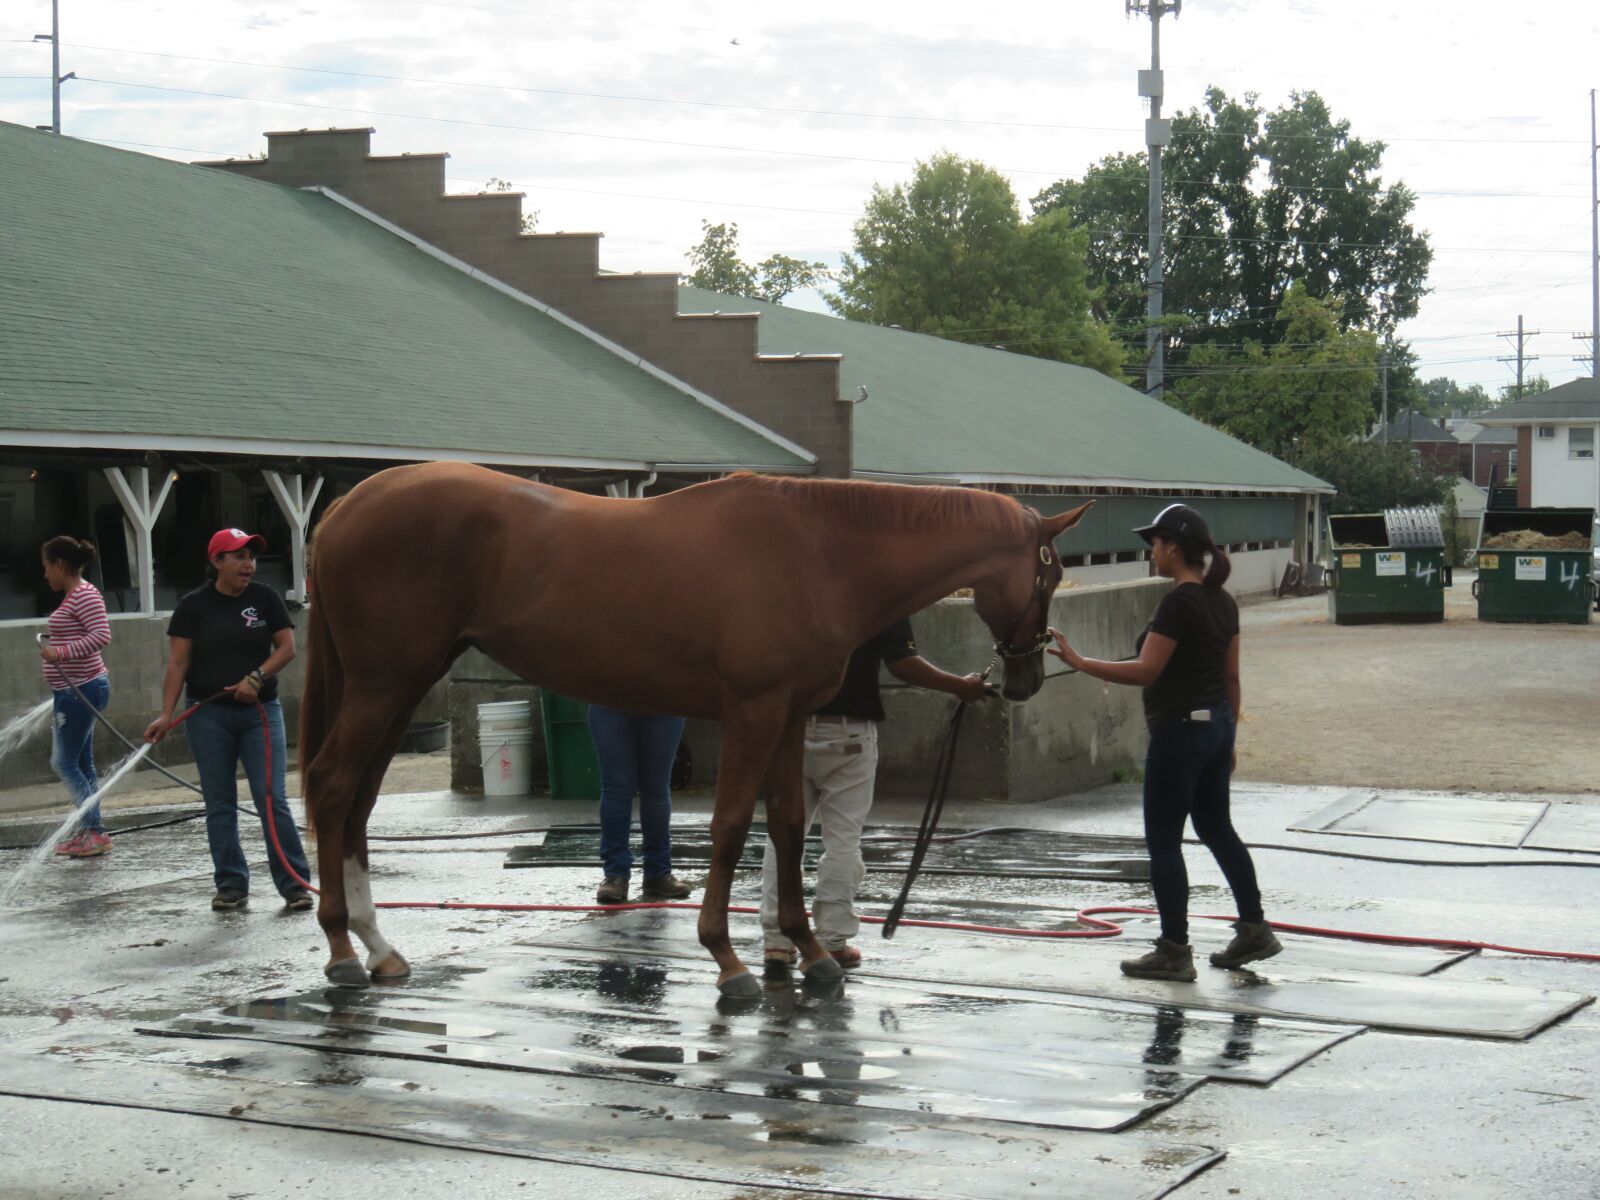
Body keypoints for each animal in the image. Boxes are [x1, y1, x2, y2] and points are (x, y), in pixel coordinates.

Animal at [300, 460, 1094, 998]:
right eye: (1051, 576)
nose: (1023, 680)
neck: (820, 552)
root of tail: (344, 508)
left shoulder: (789, 717)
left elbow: (788, 827)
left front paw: (810, 952)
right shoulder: (753, 711)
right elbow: (733, 827)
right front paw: (728, 958)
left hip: (401, 686)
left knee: (360, 799)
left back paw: (378, 946)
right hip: (382, 684)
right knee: (334, 787)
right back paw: (340, 949)